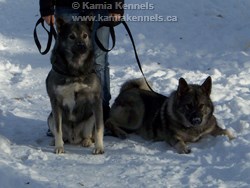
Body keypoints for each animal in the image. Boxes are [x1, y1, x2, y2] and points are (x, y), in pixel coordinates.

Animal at [46, 18, 103, 155]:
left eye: (85, 35)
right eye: (71, 36)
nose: (82, 46)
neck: (75, 72)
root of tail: (74, 138)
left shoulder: (96, 100)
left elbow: (99, 129)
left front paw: (99, 147)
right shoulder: (55, 101)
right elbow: (58, 129)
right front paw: (59, 147)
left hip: (90, 117)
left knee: (88, 135)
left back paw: (86, 141)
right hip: (50, 117)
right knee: (61, 134)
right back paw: (55, 141)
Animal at [104, 75, 233, 153]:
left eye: (201, 105)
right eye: (188, 105)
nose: (196, 120)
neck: (193, 129)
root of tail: (126, 91)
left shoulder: (212, 129)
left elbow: (226, 132)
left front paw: (233, 138)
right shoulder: (172, 136)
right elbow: (179, 142)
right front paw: (185, 149)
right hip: (136, 114)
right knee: (108, 120)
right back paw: (120, 132)